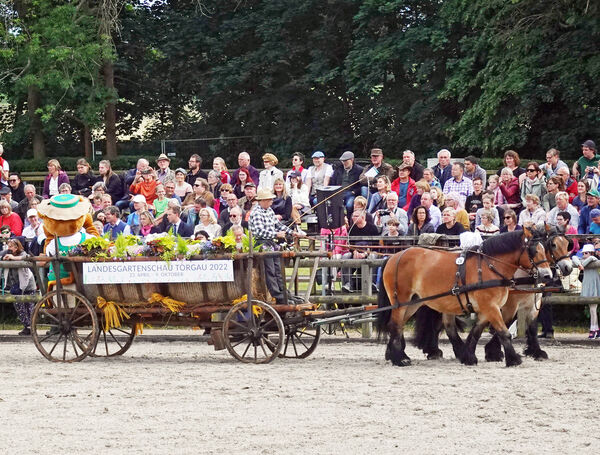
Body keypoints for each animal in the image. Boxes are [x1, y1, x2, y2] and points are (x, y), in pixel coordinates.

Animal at [378, 227, 552, 366]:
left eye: (546, 249)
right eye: (534, 251)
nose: (547, 275)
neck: (490, 266)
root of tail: (395, 257)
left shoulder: (486, 309)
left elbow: (476, 332)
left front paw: (468, 357)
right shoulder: (491, 307)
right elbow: (504, 332)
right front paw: (513, 359)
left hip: (413, 302)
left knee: (398, 326)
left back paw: (395, 355)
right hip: (401, 300)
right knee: (395, 325)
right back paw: (400, 359)